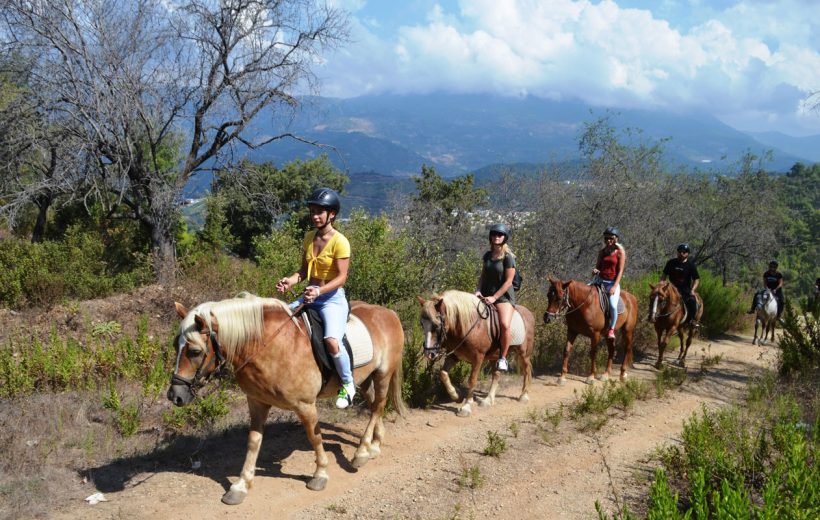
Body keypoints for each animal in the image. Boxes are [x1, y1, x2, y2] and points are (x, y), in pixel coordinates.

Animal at [167, 296, 406, 504]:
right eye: (175, 346)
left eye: (195, 351)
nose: (174, 395)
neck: (270, 346)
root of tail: (389, 313)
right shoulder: (257, 402)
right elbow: (253, 442)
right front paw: (241, 485)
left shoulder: (305, 405)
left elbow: (314, 437)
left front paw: (320, 474)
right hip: (364, 380)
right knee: (375, 406)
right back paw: (375, 444)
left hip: (383, 374)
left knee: (377, 407)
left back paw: (362, 451)